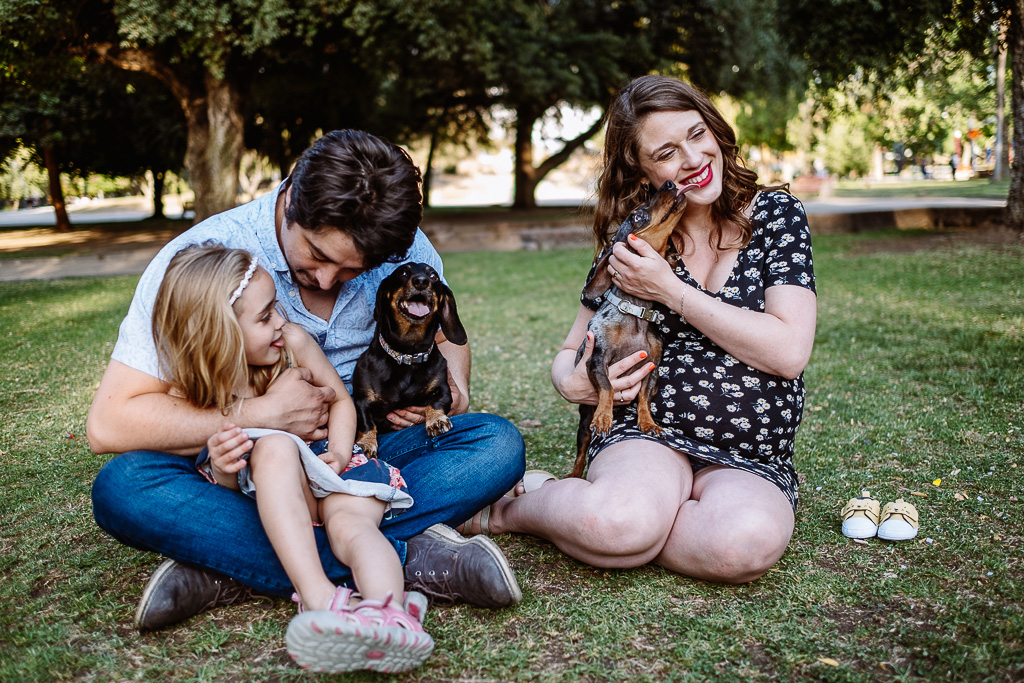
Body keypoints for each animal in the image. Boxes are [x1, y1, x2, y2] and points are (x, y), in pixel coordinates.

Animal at [350, 262, 466, 458]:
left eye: (433, 276)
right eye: (403, 272)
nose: (421, 281)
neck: (407, 354)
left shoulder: (443, 388)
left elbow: (437, 402)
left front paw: (436, 420)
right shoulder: (361, 400)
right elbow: (366, 424)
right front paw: (366, 444)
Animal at [569, 181, 696, 481]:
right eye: (637, 215)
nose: (669, 184)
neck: (635, 313)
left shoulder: (652, 368)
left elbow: (643, 398)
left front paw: (648, 422)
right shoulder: (596, 360)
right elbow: (606, 386)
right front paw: (605, 415)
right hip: (583, 424)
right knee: (581, 452)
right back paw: (573, 473)